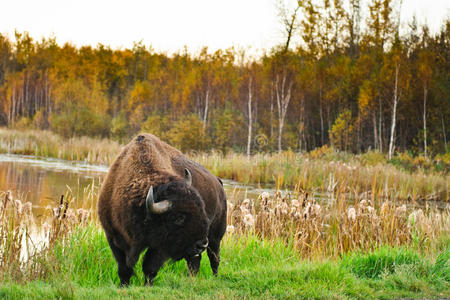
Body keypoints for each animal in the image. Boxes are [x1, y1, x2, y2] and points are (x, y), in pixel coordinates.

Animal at [97, 134, 227, 286]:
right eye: (178, 217)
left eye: (202, 209)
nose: (201, 244)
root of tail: (218, 182)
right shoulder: (113, 236)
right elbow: (124, 269)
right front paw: (124, 285)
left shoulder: (160, 246)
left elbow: (150, 268)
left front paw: (147, 285)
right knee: (195, 260)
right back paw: (192, 279)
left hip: (215, 237)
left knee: (214, 258)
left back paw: (215, 277)